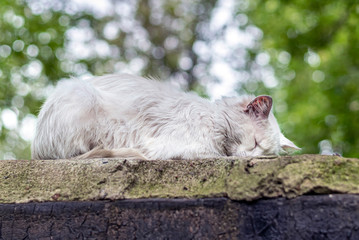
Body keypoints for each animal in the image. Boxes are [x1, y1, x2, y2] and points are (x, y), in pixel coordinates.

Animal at [31, 73, 300, 159]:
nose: (251, 158)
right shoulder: (173, 145)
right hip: (81, 95)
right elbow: (211, 153)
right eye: (254, 144)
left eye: (264, 154)